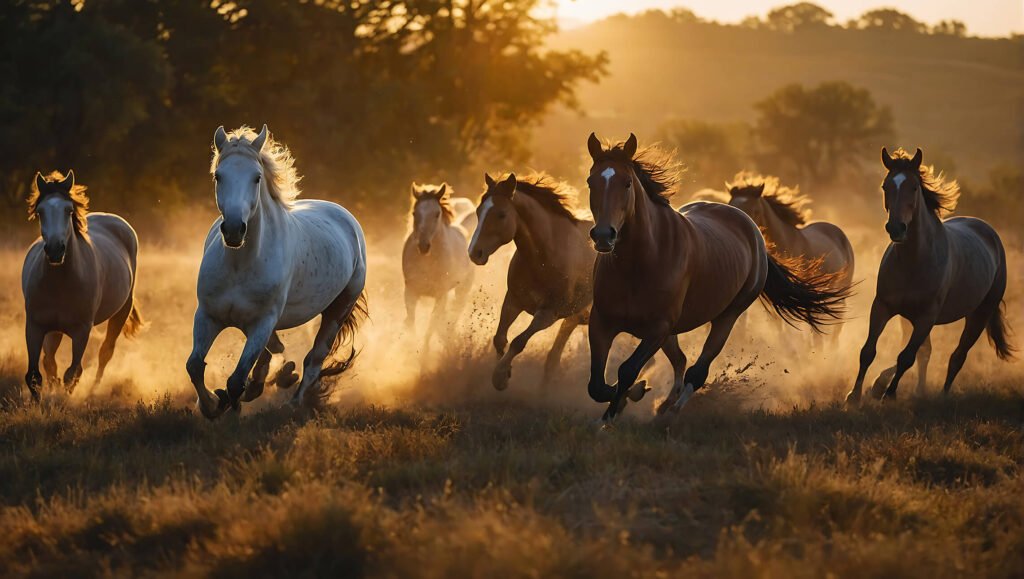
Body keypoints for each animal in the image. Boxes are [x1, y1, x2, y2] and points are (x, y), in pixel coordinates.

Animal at [22, 170, 143, 402]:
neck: (60, 283)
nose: (55, 250)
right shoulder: (34, 327)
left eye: (68, 210)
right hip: (54, 330)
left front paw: (63, 401)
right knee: (49, 360)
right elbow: (34, 375)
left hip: (121, 312)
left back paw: (93, 390)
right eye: (40, 212)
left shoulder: (81, 331)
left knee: (105, 352)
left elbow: (72, 374)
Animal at [187, 125, 368, 419]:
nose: (234, 229)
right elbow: (194, 366)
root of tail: (346, 217)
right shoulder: (208, 316)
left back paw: (291, 403)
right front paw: (211, 405)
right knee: (274, 351)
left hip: (338, 310)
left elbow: (236, 379)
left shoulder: (262, 323)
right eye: (218, 176)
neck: (240, 265)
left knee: (313, 361)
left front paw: (228, 403)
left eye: (257, 177)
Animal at [402, 183, 475, 347]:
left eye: (437, 214)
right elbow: (410, 322)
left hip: (462, 290)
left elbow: (431, 326)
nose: (423, 246)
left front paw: (424, 352)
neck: (427, 263)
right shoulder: (410, 292)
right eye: (415, 213)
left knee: (453, 315)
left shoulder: (441, 295)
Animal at [468, 172, 595, 390]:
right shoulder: (513, 301)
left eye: (501, 214)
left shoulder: (548, 314)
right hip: (575, 319)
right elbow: (499, 338)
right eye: (478, 211)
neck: (545, 256)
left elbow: (519, 341)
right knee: (554, 357)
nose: (475, 253)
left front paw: (500, 376)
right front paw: (506, 371)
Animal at [846, 148, 1013, 403]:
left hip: (979, 314)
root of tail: (988, 232)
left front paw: (888, 394)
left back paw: (941, 395)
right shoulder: (884, 307)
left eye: (914, 187)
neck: (914, 261)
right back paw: (913, 390)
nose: (896, 228)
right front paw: (856, 395)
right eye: (885, 186)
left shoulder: (927, 316)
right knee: (926, 352)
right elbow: (868, 351)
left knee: (957, 356)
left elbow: (906, 356)